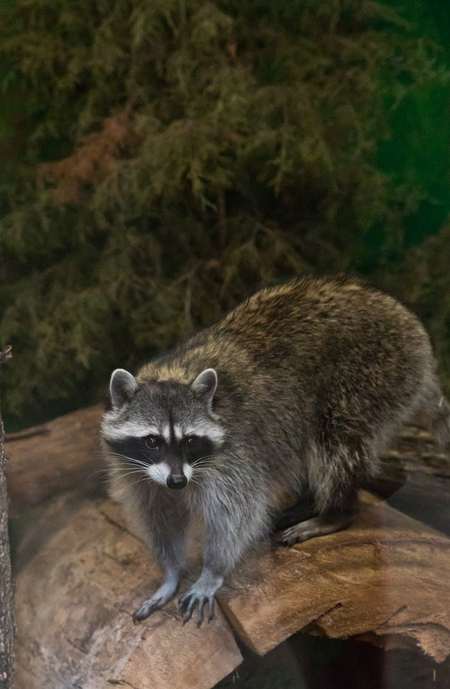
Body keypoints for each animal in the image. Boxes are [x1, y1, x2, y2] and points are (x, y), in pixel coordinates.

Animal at [101, 275, 450, 625]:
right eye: (152, 441)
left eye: (189, 441)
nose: (177, 482)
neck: (172, 375)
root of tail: (410, 325)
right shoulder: (139, 472)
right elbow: (160, 519)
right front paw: (170, 574)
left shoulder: (234, 456)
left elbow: (237, 514)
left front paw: (212, 572)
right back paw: (311, 502)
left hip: (373, 373)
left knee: (337, 442)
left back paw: (336, 511)